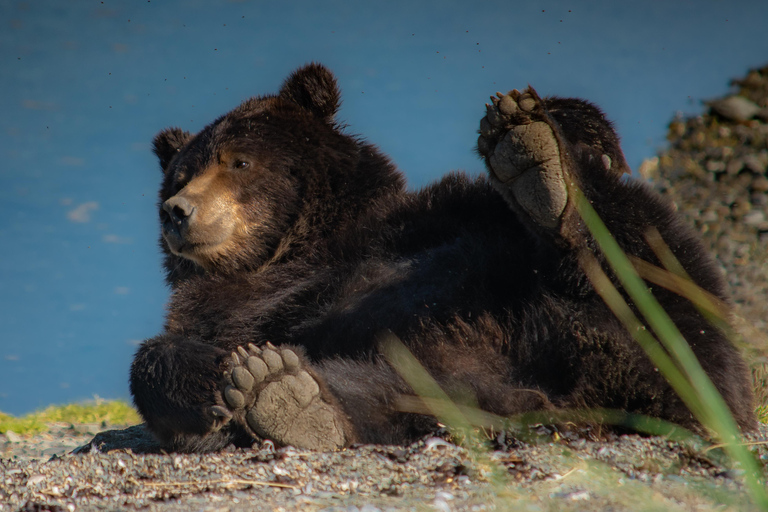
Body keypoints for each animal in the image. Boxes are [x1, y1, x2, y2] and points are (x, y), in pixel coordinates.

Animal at [129, 63, 755, 453]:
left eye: (238, 161)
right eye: (179, 175)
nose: (177, 211)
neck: (295, 252)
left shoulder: (433, 220)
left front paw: (532, 132)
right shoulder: (234, 310)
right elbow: (162, 357)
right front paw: (227, 374)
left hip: (649, 307)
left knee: (650, 270)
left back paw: (541, 173)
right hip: (434, 380)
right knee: (380, 396)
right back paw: (283, 394)